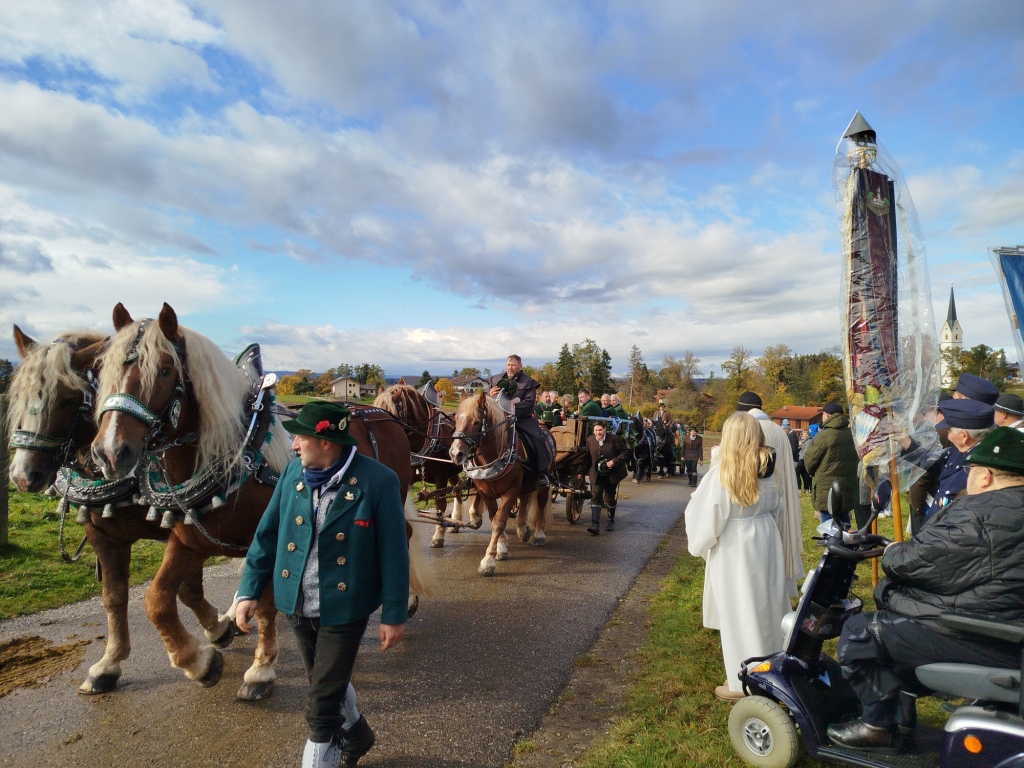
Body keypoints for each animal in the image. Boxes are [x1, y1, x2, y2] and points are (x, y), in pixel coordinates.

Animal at [7, 326, 237, 695]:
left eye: (68, 399)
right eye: (17, 396)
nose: (23, 475)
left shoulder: (186, 524)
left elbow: (187, 588)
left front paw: (215, 630)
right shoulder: (103, 535)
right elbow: (114, 597)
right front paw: (109, 663)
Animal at [373, 384, 467, 549]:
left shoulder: (441, 477)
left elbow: (440, 506)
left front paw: (438, 536)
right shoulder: (409, 478)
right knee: (457, 488)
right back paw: (456, 520)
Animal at [448, 392, 552, 576]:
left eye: (476, 422)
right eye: (456, 420)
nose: (455, 453)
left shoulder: (510, 491)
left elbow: (498, 522)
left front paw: (487, 561)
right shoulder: (485, 493)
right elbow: (494, 517)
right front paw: (502, 546)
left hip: (542, 485)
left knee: (540, 503)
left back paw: (539, 534)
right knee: (524, 499)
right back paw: (522, 528)